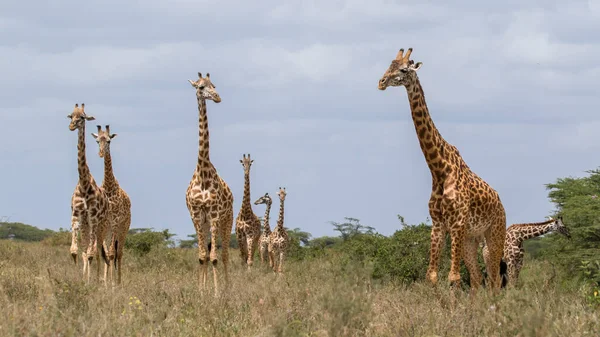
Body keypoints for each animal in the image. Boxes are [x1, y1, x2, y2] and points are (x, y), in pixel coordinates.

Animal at [380, 48, 506, 292]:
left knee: (494, 280)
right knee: (477, 279)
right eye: (388, 65)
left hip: (494, 235)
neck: (438, 170)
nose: (381, 82)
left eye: (403, 70)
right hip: (471, 239)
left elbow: (454, 278)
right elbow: (432, 276)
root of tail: (500, 203)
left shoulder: (456, 223)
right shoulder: (438, 224)